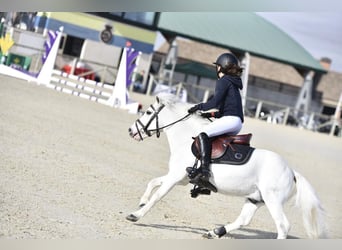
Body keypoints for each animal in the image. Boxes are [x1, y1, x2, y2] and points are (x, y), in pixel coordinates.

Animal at [126, 93, 326, 238]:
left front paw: (136, 214)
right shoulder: (179, 177)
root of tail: (292, 172)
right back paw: (214, 233)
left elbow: (158, 195)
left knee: (283, 226)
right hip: (256, 198)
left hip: (272, 199)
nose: (131, 131)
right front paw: (142, 200)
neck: (185, 138)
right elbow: (153, 182)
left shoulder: (175, 177)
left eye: (148, 112)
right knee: (244, 220)